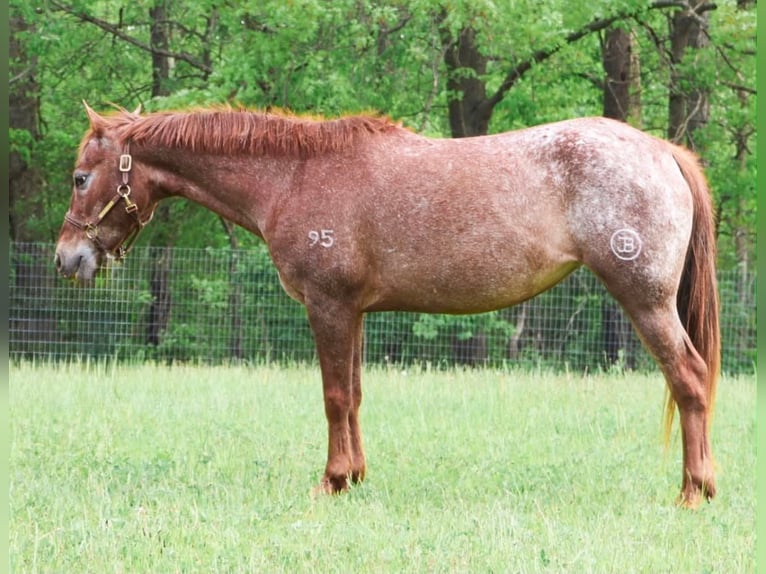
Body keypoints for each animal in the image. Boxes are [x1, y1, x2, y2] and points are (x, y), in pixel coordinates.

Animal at [54, 103, 720, 507]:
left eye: (81, 177)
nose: (67, 259)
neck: (293, 177)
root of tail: (664, 152)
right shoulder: (354, 313)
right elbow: (353, 395)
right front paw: (354, 476)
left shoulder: (327, 306)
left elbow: (333, 396)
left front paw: (331, 481)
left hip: (646, 301)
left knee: (689, 380)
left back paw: (695, 490)